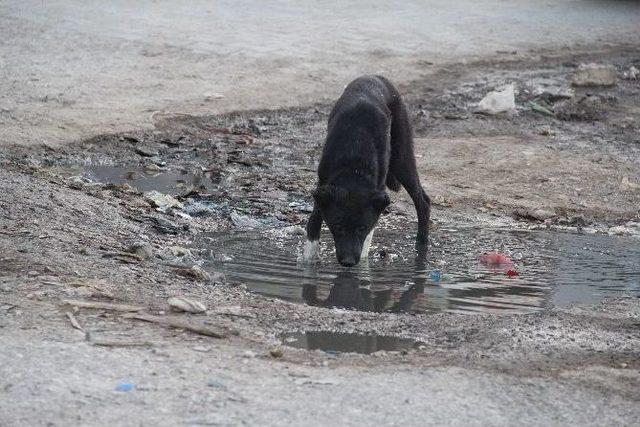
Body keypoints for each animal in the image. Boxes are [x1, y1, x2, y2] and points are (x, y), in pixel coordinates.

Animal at [304, 75, 430, 266]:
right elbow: (314, 221)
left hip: (401, 158)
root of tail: (376, 77)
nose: (348, 262)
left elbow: (368, 236)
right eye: (338, 226)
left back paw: (421, 245)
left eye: (362, 227)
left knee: (422, 201)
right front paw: (308, 261)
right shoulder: (324, 186)